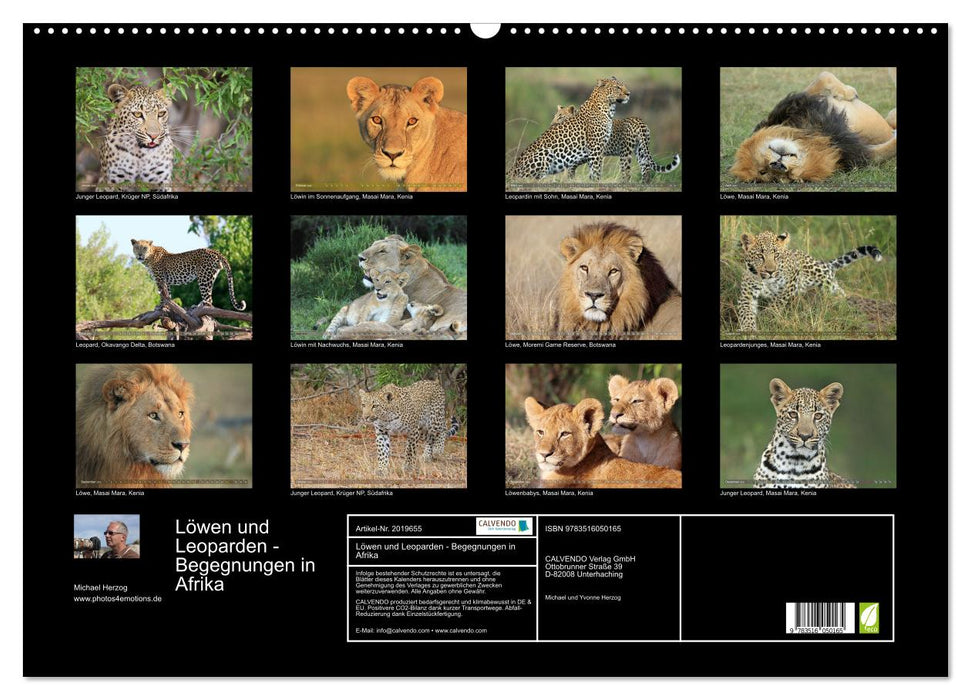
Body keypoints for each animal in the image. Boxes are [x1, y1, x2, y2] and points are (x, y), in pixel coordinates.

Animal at [730, 71, 896, 183]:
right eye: (764, 172)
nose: (777, 165)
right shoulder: (858, 154)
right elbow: (889, 148)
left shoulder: (797, 103)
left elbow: (823, 77)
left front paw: (848, 92)